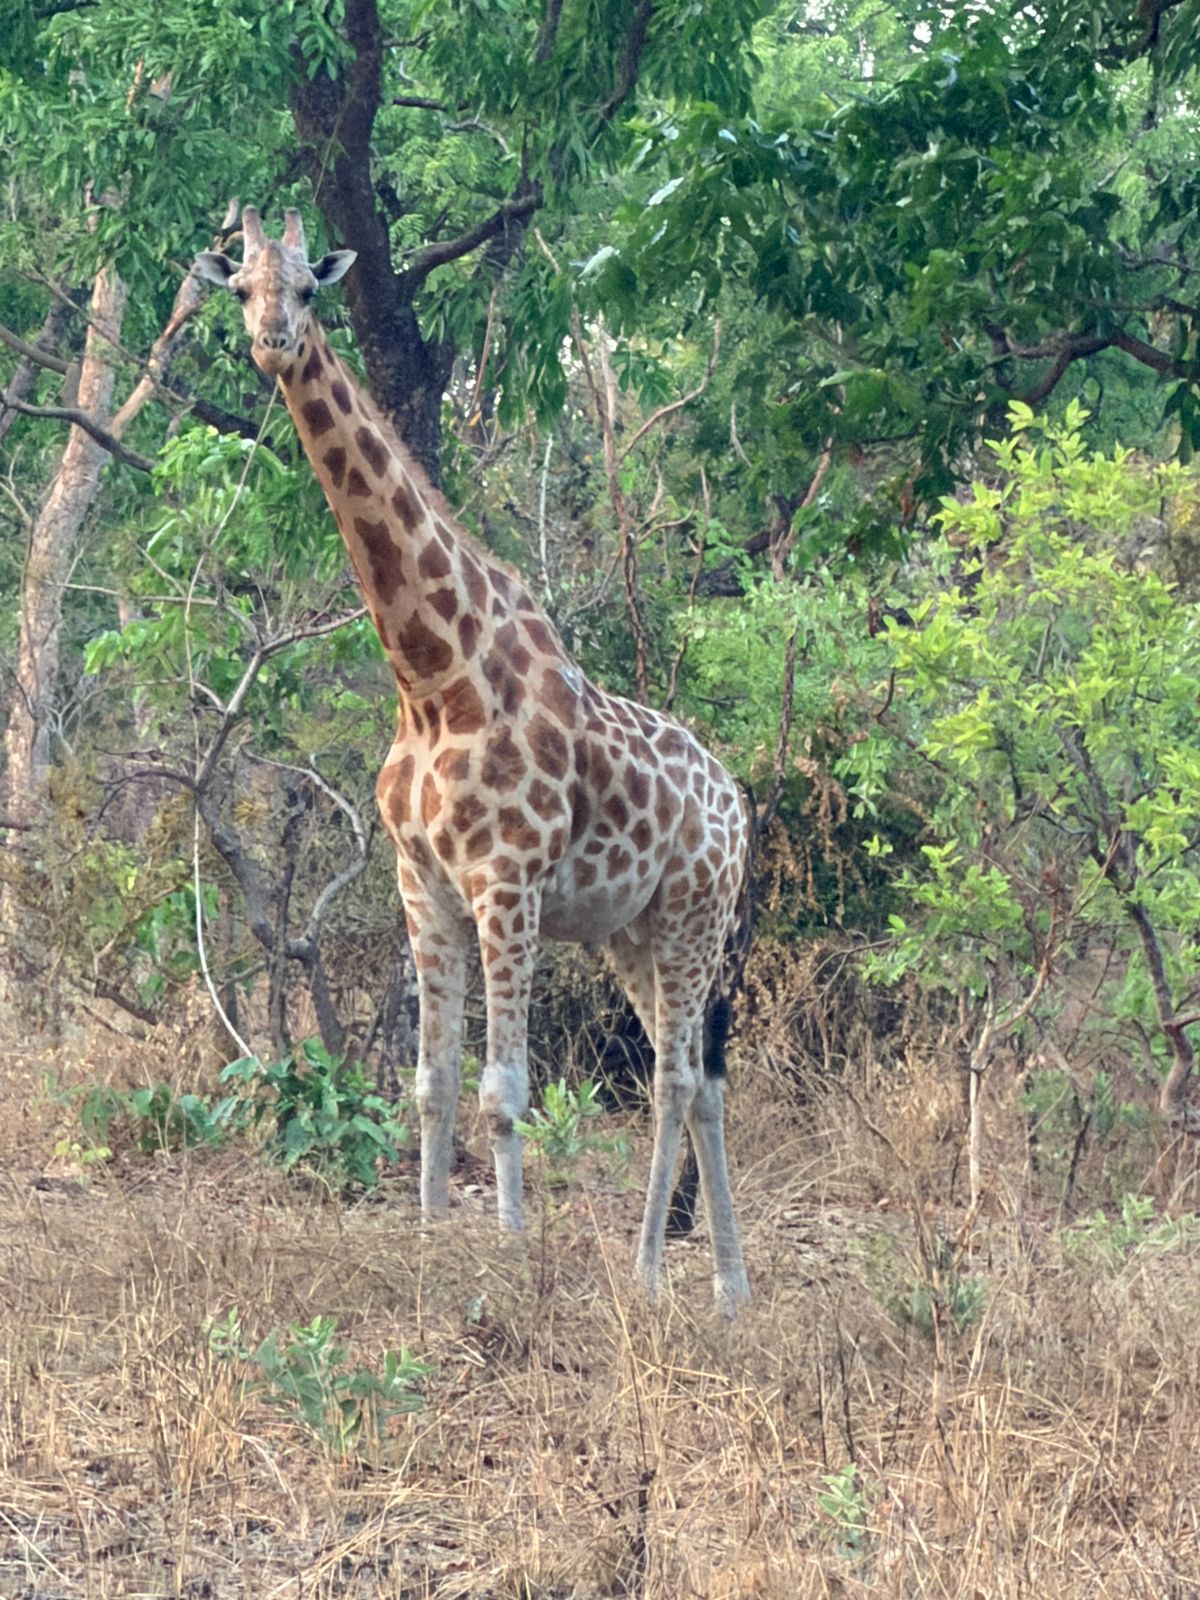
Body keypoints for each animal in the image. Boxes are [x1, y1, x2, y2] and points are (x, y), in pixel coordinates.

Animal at [193, 208, 751, 1311]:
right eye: (239, 286)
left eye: (310, 289)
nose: (274, 341)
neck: (432, 679)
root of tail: (740, 805)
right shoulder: (426, 883)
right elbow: (431, 1080)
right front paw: (426, 1237)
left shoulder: (508, 882)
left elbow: (504, 1088)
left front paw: (511, 1249)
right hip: (632, 933)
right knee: (700, 1075)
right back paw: (728, 1289)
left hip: (695, 913)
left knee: (673, 1077)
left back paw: (646, 1274)